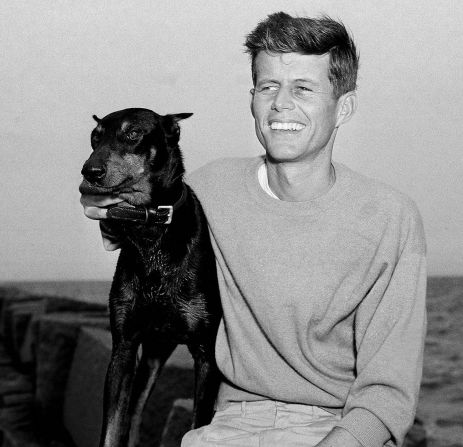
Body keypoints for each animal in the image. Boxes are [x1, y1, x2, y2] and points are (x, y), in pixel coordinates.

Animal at [79, 108, 223, 447]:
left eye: (133, 134)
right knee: (134, 413)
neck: (151, 230)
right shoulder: (123, 349)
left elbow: (197, 425)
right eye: (95, 137)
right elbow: (113, 428)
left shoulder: (206, 356)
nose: (89, 172)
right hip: (153, 355)